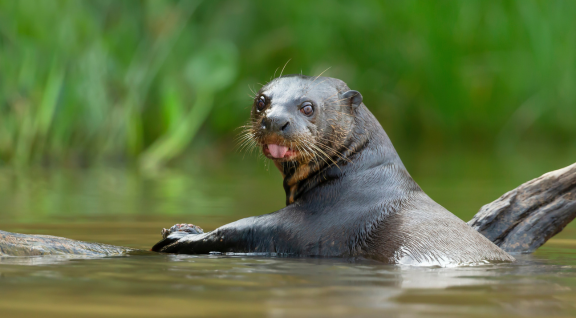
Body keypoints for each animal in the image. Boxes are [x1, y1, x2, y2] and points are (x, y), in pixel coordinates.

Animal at [151, 75, 516, 266]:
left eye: (307, 107)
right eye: (261, 101)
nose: (275, 121)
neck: (356, 175)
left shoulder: (324, 224)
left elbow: (247, 228)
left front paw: (183, 236)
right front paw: (185, 227)